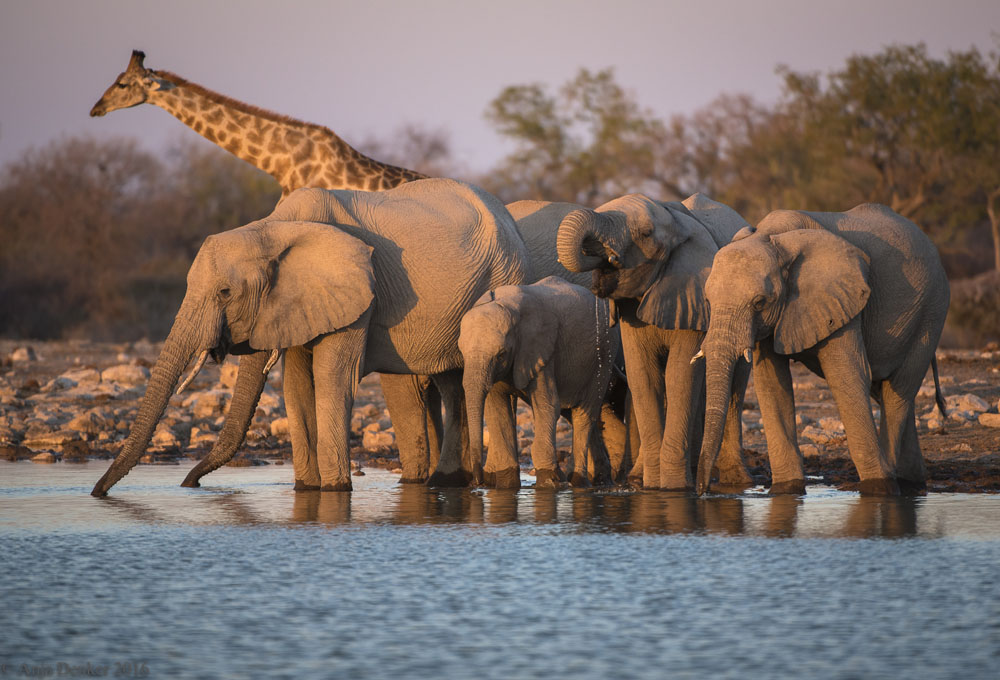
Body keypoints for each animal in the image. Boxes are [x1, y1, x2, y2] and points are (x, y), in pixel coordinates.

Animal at [91, 178, 530, 496]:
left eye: (226, 293)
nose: (190, 483)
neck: (272, 228)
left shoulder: (357, 291)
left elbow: (332, 380)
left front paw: (335, 491)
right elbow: (297, 385)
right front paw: (307, 489)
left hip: (502, 276)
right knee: (449, 384)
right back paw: (442, 483)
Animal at [459, 276, 618, 489]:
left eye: (501, 354)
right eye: (461, 352)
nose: (478, 483)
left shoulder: (541, 349)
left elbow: (547, 406)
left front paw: (549, 482)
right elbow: (497, 410)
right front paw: (507, 485)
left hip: (603, 357)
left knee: (584, 413)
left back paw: (579, 481)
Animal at [555, 193, 753, 490]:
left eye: (646, 234)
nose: (607, 256)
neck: (674, 218)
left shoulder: (693, 297)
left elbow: (679, 375)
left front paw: (674, 488)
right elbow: (643, 377)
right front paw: (650, 486)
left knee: (734, 389)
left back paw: (734, 480)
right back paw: (643, 476)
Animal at [695, 203, 949, 496]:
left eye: (759, 302)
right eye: (707, 299)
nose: (702, 491)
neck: (774, 238)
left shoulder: (842, 299)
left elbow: (847, 376)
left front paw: (878, 490)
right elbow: (772, 384)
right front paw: (787, 490)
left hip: (931, 312)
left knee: (899, 392)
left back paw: (893, 481)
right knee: (894, 394)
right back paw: (912, 483)